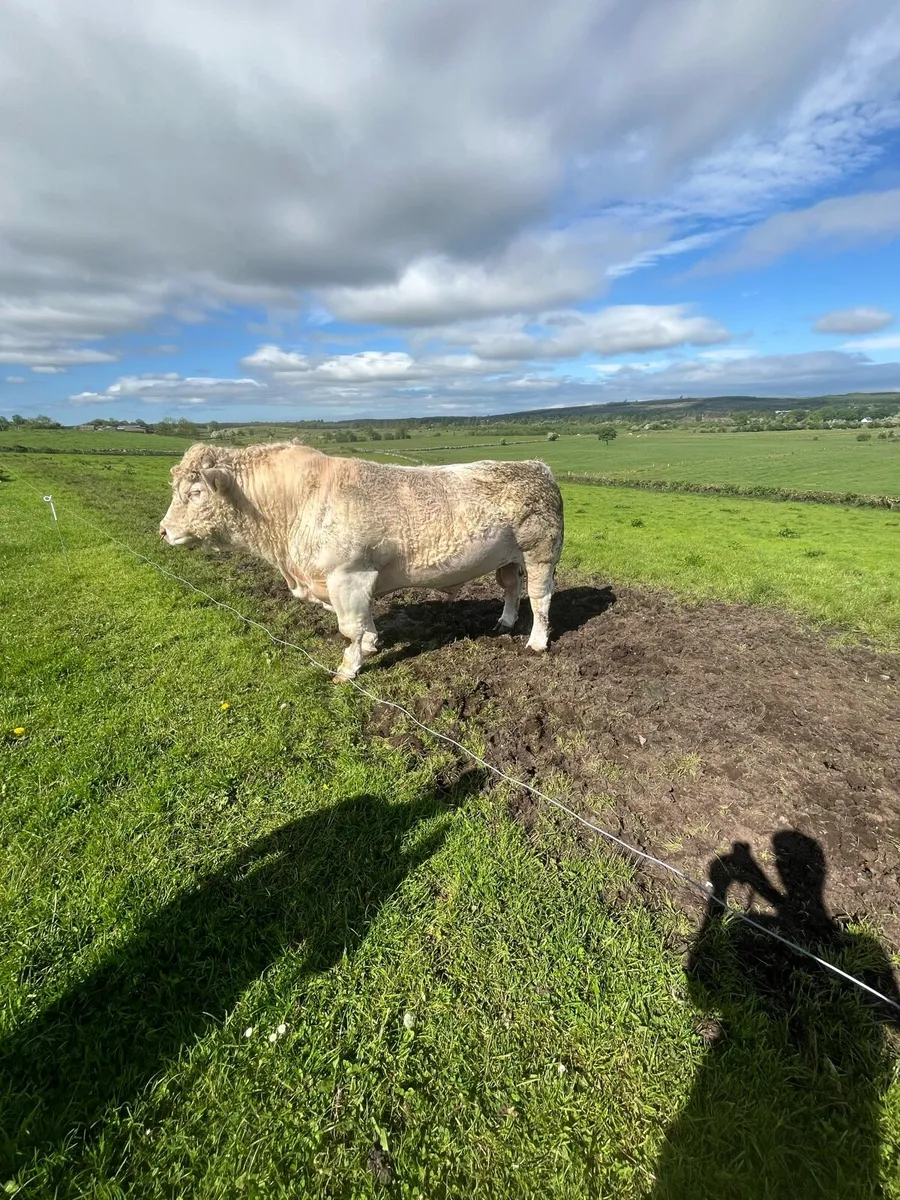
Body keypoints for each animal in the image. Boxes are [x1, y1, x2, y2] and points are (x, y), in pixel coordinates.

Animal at [159, 442, 564, 682]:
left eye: (195, 492)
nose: (163, 531)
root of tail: (537, 466)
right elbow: (364, 625)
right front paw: (371, 645)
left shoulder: (348, 576)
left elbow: (350, 628)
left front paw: (348, 668)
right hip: (507, 558)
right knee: (512, 589)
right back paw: (505, 621)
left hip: (541, 551)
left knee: (540, 598)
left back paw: (536, 642)